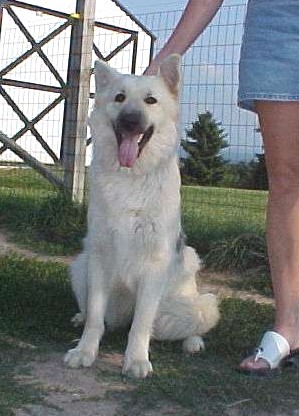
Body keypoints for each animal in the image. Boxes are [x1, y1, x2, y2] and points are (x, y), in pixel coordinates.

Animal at [64, 56, 219, 380]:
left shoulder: (154, 265)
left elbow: (141, 324)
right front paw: (85, 351)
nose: (131, 121)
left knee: (192, 319)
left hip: (189, 271)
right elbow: (95, 317)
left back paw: (193, 341)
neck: (131, 178)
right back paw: (80, 316)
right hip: (80, 264)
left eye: (150, 100)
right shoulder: (99, 257)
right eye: (119, 98)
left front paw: (135, 359)